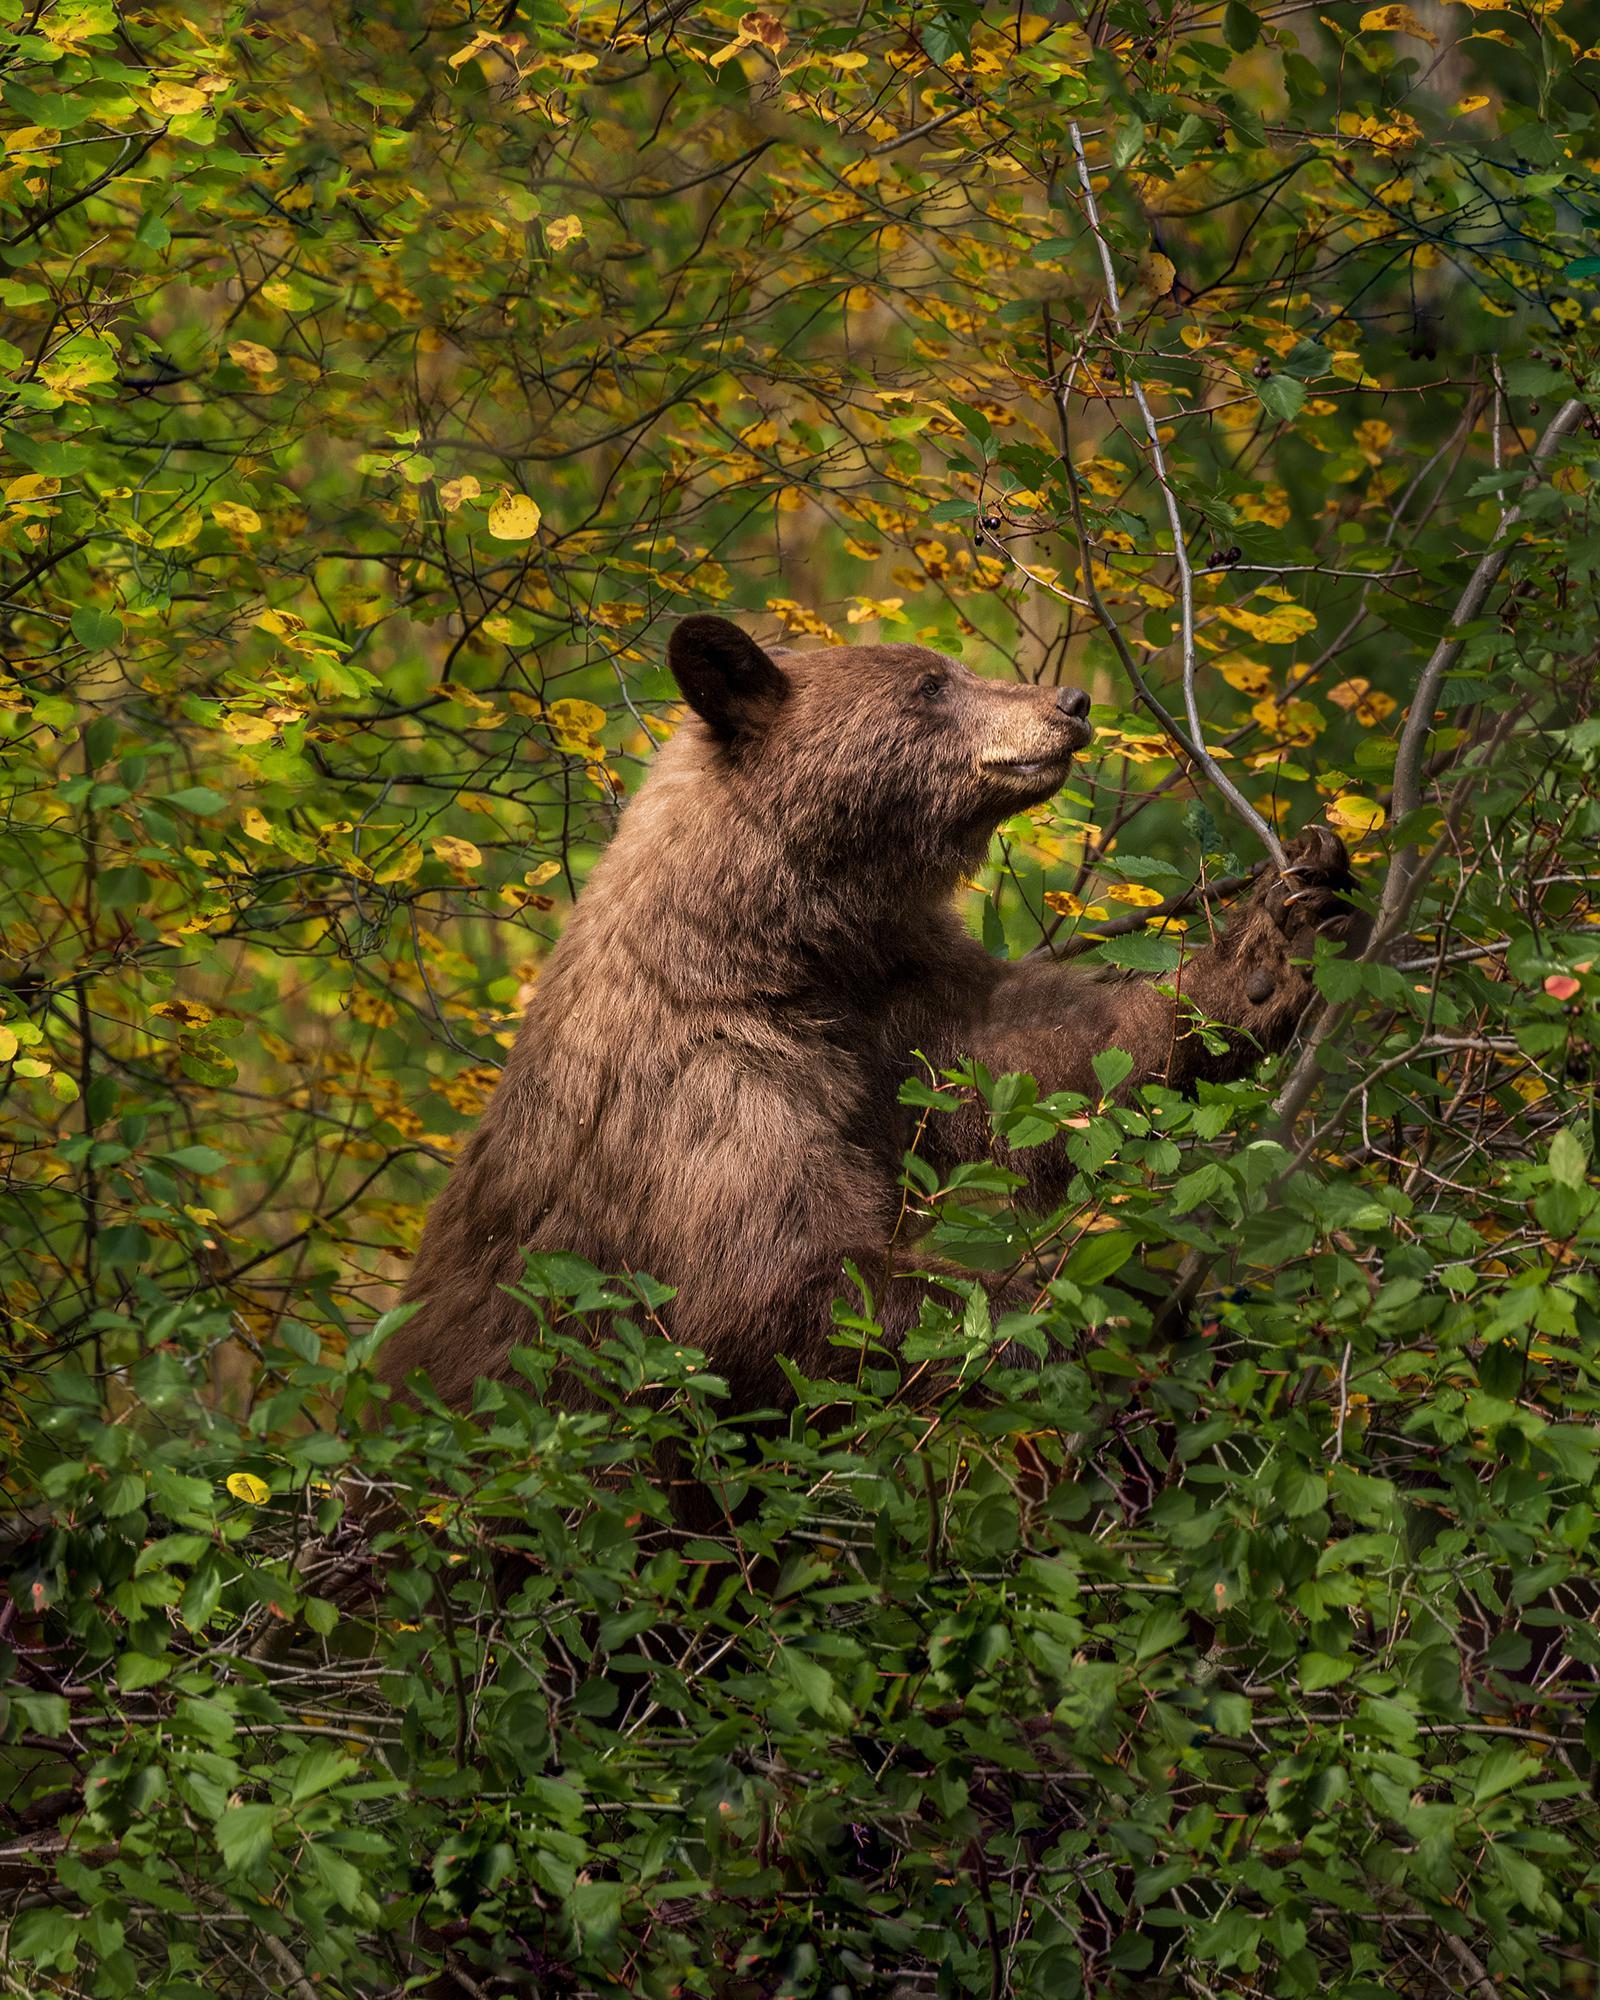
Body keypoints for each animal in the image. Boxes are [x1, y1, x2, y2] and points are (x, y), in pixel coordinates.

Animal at [382, 616, 1360, 1416]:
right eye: (929, 686)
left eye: (951, 668)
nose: (1071, 702)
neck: (777, 948)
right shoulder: (700, 1088)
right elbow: (780, 1276)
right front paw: (1071, 1321)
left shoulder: (894, 999)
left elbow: (1041, 1062)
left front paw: (1277, 944)